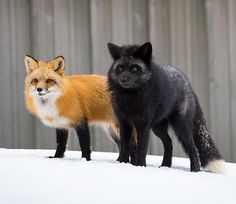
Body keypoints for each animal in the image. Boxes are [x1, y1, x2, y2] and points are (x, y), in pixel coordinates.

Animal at [108, 42, 224, 173]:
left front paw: (141, 167)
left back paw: (195, 170)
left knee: (193, 147)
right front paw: (122, 164)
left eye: (134, 68)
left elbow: (142, 150)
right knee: (169, 142)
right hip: (157, 127)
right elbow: (124, 147)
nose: (123, 78)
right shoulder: (124, 123)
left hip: (181, 127)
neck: (130, 97)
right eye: (120, 68)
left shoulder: (143, 126)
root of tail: (189, 85)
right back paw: (165, 165)